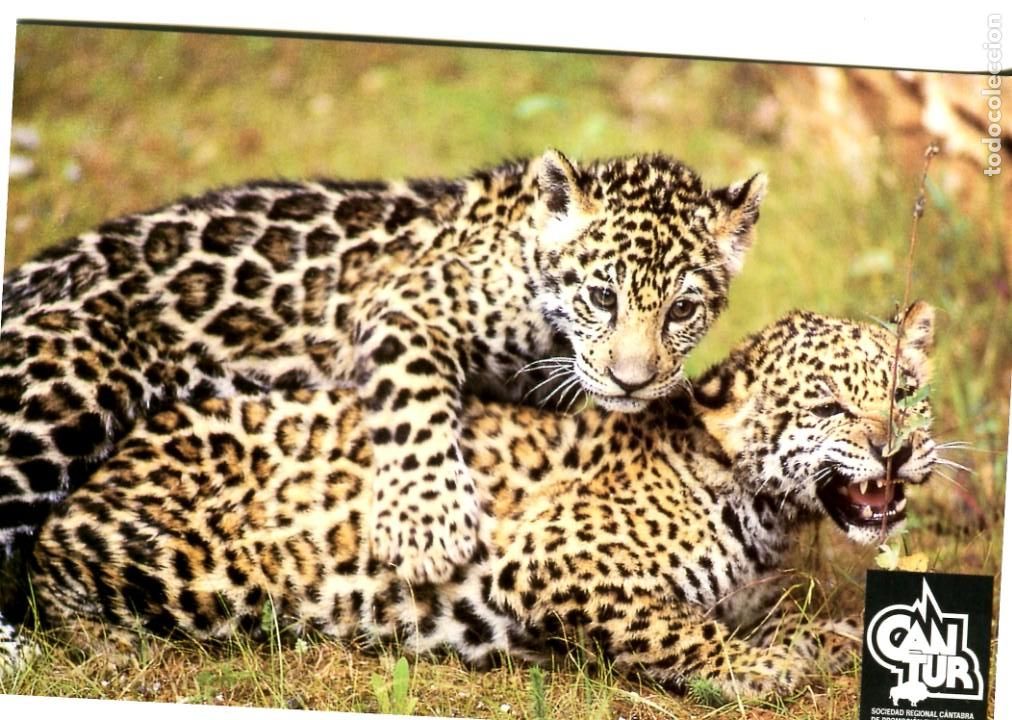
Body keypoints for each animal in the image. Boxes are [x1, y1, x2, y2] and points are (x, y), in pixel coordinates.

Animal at [0, 150, 767, 639]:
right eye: (602, 296)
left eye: (682, 309)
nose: (633, 380)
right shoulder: (405, 307)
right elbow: (416, 407)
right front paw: (429, 530)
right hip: (69, 384)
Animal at [25, 302, 938, 700]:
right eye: (827, 404)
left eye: (908, 393)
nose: (896, 448)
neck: (765, 509)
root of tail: (115, 459)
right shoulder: (547, 556)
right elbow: (678, 629)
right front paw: (759, 668)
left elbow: (778, 615)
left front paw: (822, 638)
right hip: (204, 568)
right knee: (52, 565)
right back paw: (106, 649)